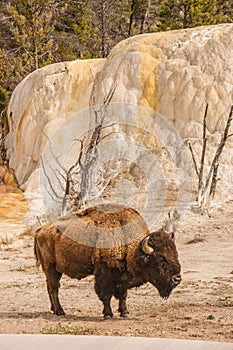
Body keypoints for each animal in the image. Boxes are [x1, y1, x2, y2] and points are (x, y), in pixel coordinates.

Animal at [33, 204, 181, 318]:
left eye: (175, 254)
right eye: (160, 259)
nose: (177, 278)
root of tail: (40, 230)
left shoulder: (123, 276)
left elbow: (123, 294)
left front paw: (124, 312)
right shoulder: (104, 273)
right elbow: (106, 294)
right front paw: (108, 314)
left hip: (52, 270)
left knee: (49, 287)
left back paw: (54, 309)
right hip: (51, 267)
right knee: (54, 288)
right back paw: (60, 311)